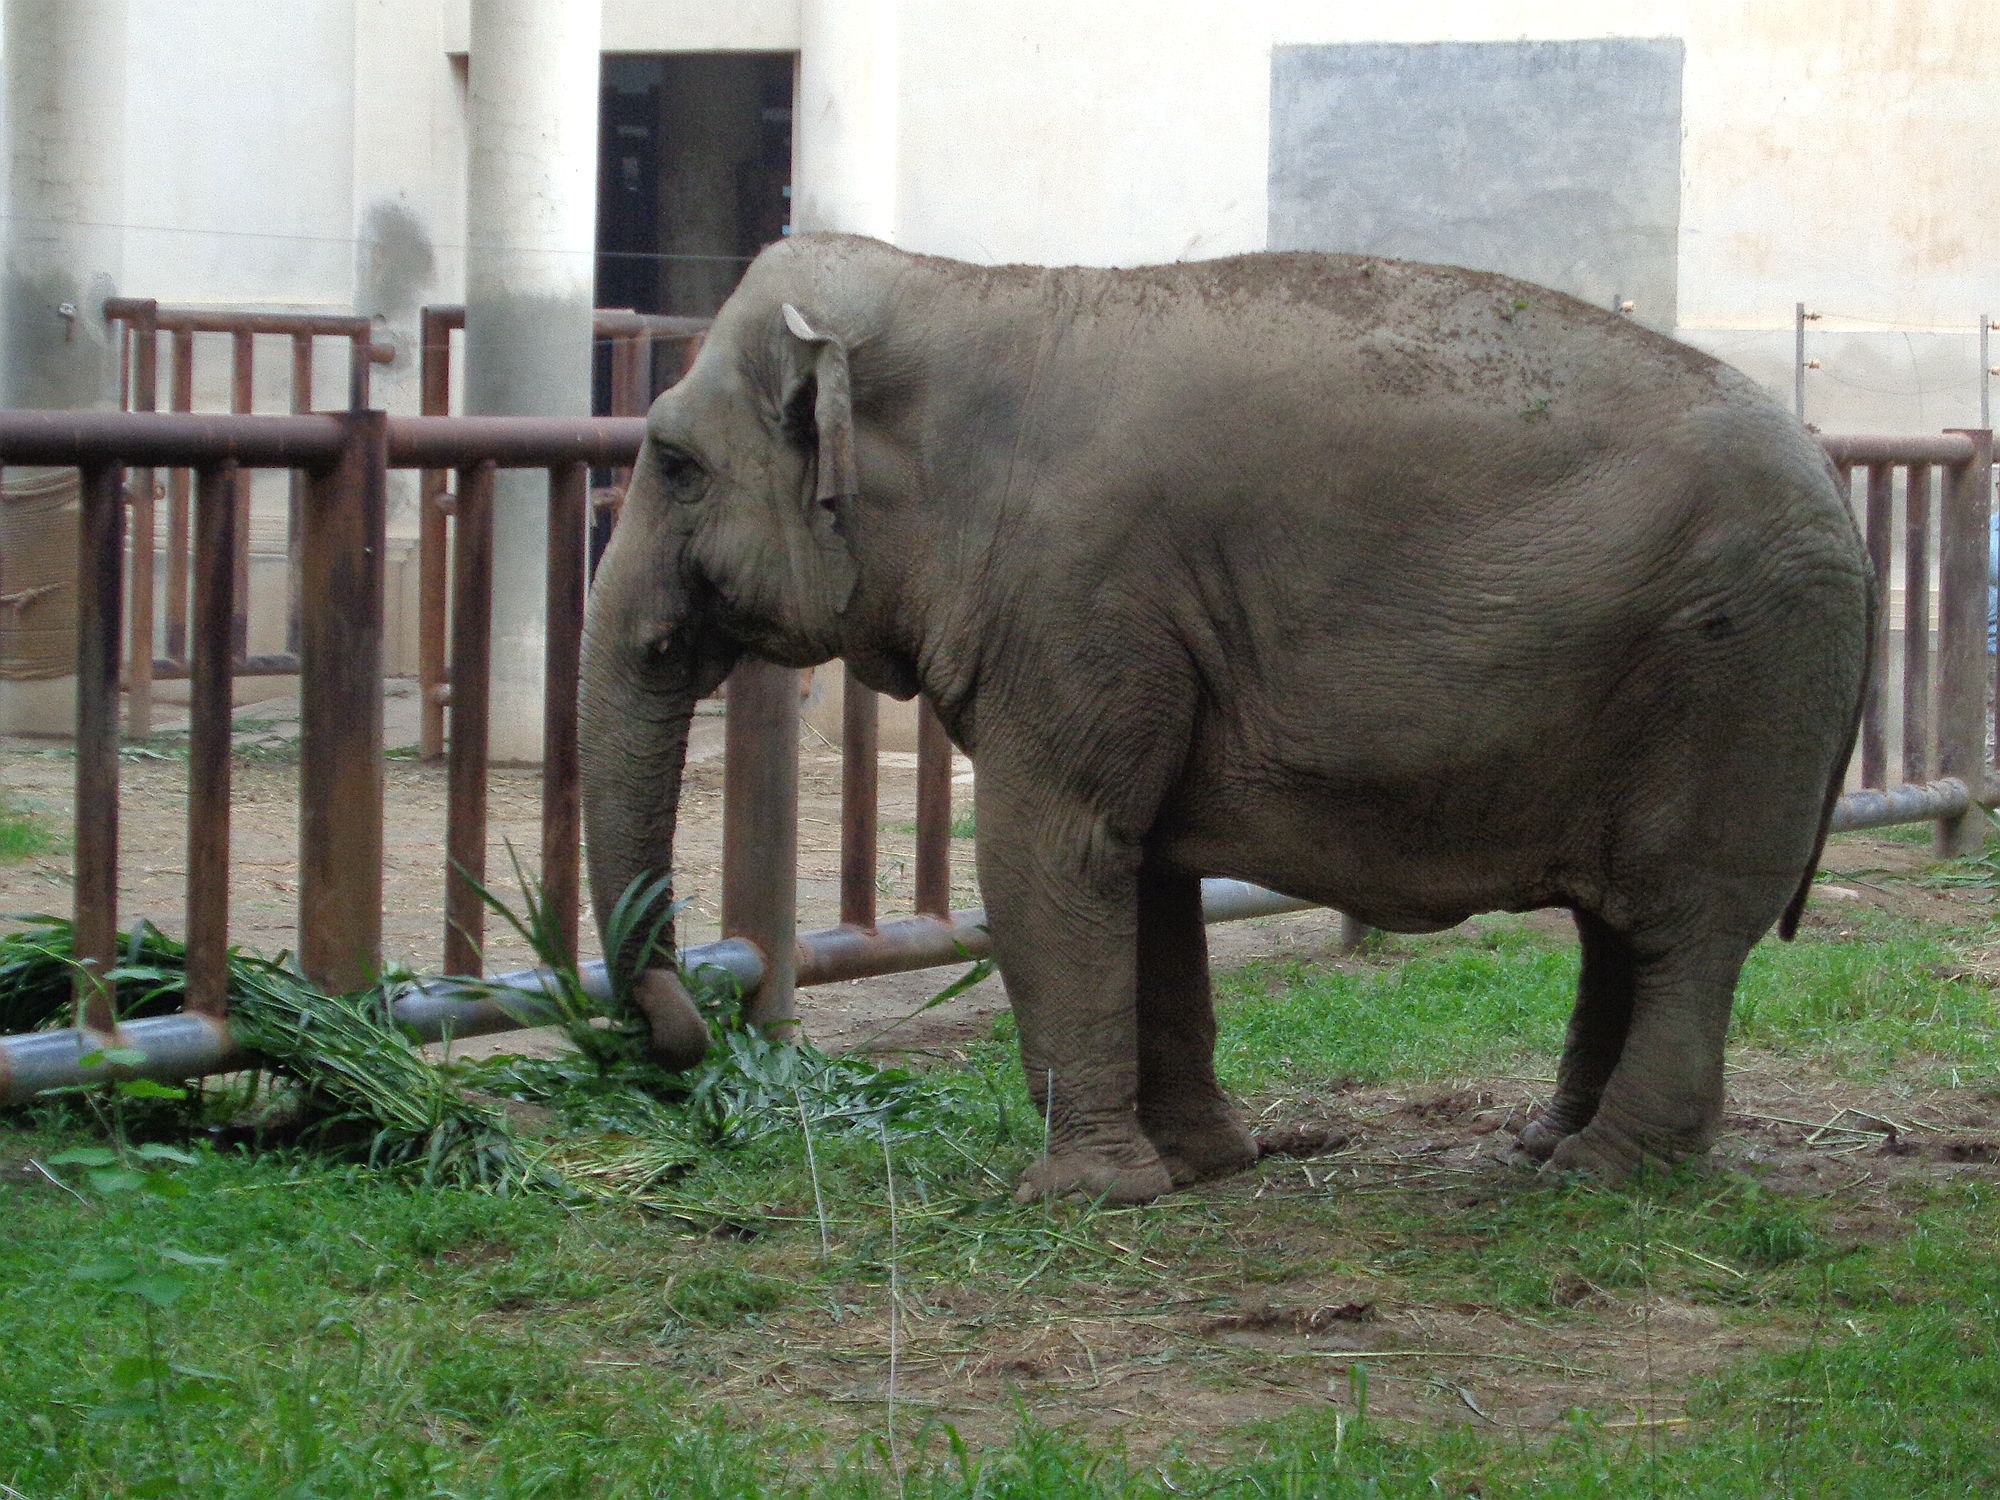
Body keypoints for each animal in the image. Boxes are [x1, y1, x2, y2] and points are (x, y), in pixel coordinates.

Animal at [580, 229, 1872, 1208]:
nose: (677, 1037)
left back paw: (1605, 1171)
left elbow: (1047, 851)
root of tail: (1836, 487)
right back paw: (1547, 1145)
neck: (963, 288)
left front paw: (1080, 1197)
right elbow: (1142, 868)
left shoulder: (1082, 592)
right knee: (1621, 931)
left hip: (1740, 678)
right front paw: (1203, 1165)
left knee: (1685, 926)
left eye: (672, 463)